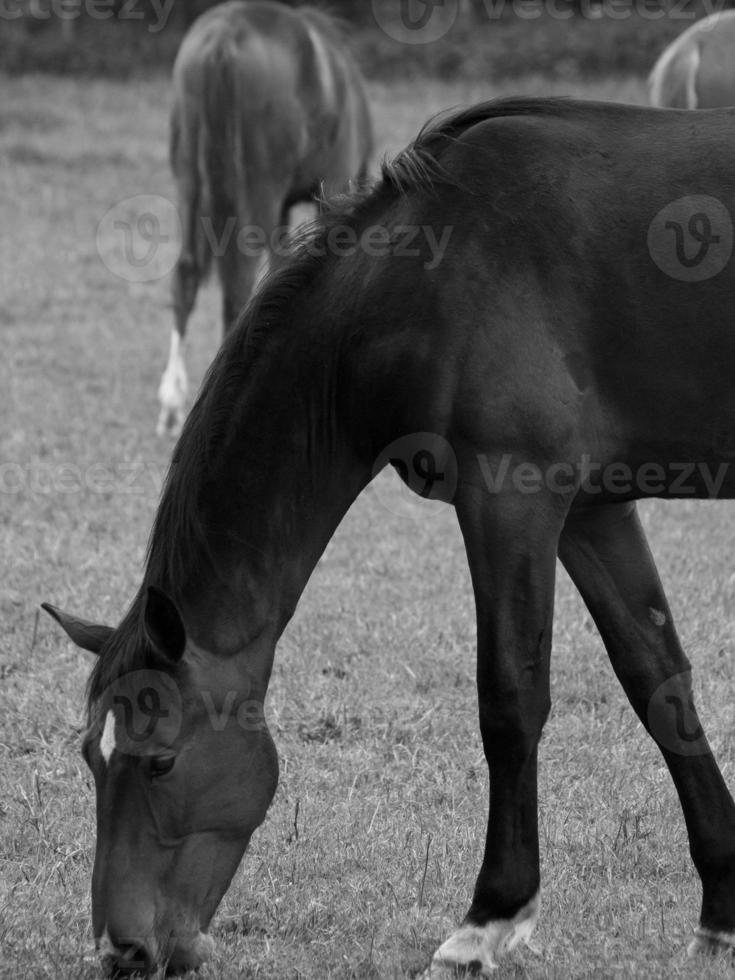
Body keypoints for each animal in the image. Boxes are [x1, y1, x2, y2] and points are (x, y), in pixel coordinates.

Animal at [44, 101, 735, 980]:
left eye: (159, 758)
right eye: (92, 758)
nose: (121, 950)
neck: (427, 272)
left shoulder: (511, 497)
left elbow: (510, 699)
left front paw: (489, 919)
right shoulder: (590, 511)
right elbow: (659, 682)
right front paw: (721, 911)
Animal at [155, 0, 374, 436]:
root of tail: (224, 37)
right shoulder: (333, 185)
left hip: (190, 177)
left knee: (187, 273)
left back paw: (172, 405)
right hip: (259, 186)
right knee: (238, 280)